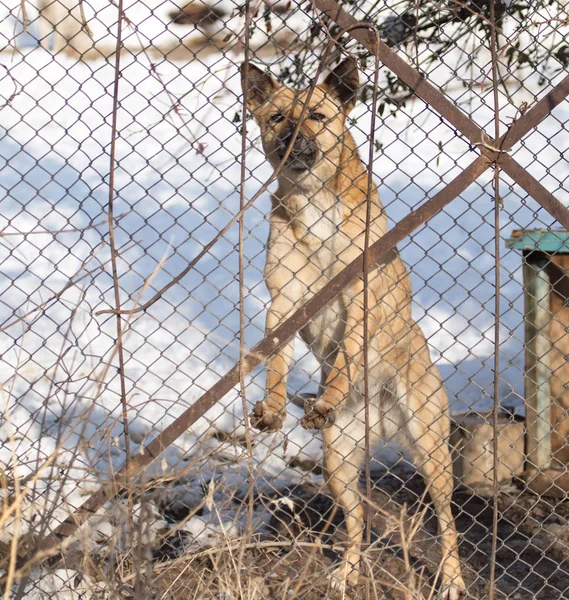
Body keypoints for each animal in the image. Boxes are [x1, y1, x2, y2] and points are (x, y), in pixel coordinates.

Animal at [240, 57, 466, 600]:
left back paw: (451, 579)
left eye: (317, 116)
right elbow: (275, 360)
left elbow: (344, 356)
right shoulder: (284, 302)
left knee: (447, 521)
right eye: (277, 117)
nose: (290, 141)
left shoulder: (359, 300)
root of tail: (377, 416)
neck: (313, 203)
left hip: (432, 454)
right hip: (338, 464)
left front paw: (327, 396)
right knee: (357, 520)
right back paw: (347, 571)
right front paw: (273, 408)